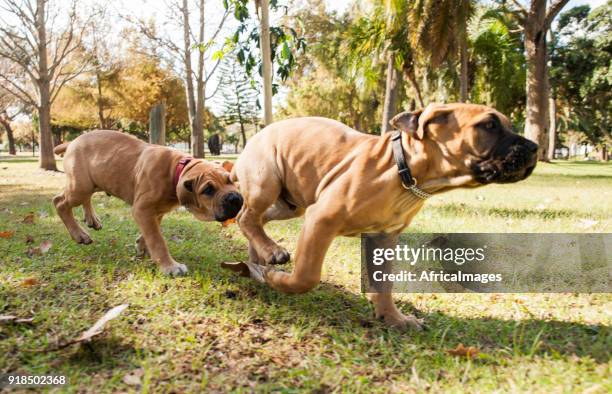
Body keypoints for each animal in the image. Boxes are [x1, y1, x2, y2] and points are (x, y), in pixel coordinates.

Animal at [52, 131, 243, 276]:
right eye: (208, 190)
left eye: (229, 180)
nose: (235, 198)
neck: (175, 169)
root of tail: (72, 142)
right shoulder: (142, 209)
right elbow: (157, 239)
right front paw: (170, 266)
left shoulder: (155, 212)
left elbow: (152, 231)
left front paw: (141, 245)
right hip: (80, 187)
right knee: (60, 202)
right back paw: (79, 234)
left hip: (93, 182)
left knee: (84, 199)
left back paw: (92, 219)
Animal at [225, 102, 536, 330]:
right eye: (489, 125)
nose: (534, 147)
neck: (404, 172)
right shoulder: (321, 219)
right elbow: (307, 276)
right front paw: (277, 279)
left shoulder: (384, 238)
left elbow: (384, 283)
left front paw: (393, 318)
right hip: (267, 181)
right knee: (245, 217)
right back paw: (270, 254)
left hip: (290, 203)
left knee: (256, 220)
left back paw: (259, 257)